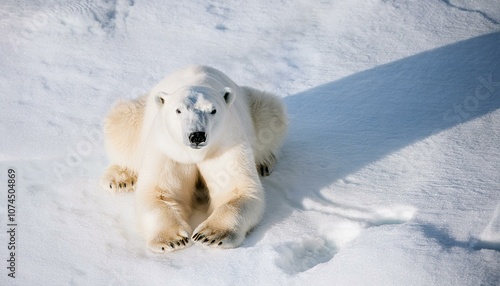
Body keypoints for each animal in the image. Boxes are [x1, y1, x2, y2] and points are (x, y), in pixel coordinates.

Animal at [100, 65, 288, 252]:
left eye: (213, 110)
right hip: (137, 115)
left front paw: (209, 235)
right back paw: (120, 179)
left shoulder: (226, 143)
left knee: (271, 113)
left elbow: (239, 190)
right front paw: (172, 240)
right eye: (178, 110)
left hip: (254, 107)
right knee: (121, 123)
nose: (197, 135)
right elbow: (159, 192)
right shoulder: (168, 149)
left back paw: (264, 163)